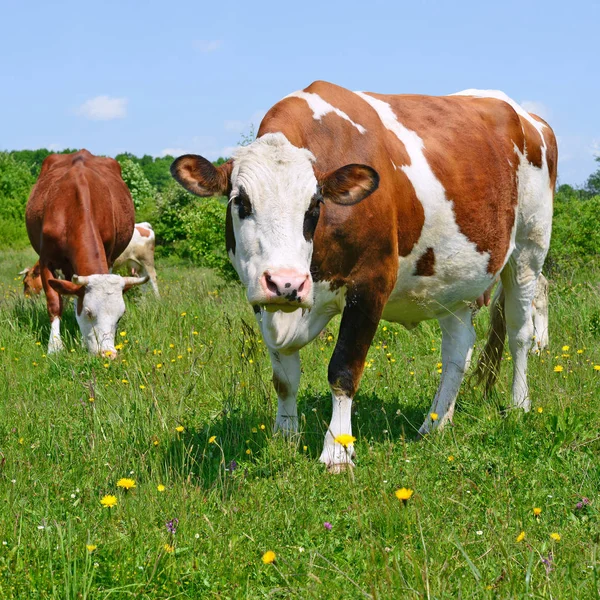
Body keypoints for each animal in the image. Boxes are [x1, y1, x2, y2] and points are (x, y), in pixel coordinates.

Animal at [25, 151, 148, 356]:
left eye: (120, 316)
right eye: (89, 313)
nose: (109, 354)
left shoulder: (108, 256)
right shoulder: (46, 260)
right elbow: (54, 302)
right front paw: (55, 347)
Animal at [171, 81, 556, 474]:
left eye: (315, 206)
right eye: (240, 202)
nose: (286, 282)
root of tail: (527, 116)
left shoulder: (371, 285)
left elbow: (343, 370)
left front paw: (338, 452)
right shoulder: (263, 299)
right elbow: (284, 377)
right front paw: (284, 436)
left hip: (529, 248)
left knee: (519, 332)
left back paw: (519, 405)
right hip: (453, 280)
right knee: (458, 348)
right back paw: (435, 423)